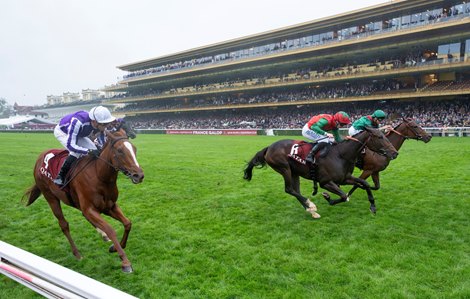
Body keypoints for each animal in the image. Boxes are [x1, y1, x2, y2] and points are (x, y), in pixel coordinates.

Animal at [23, 129, 143, 274]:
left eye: (134, 149)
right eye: (120, 150)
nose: (139, 175)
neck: (99, 175)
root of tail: (40, 158)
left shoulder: (109, 206)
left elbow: (127, 223)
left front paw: (115, 247)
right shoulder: (90, 208)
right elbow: (110, 229)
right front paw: (125, 262)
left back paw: (102, 236)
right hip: (50, 197)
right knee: (64, 224)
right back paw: (77, 254)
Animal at [244, 127, 398, 219]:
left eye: (385, 135)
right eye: (380, 137)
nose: (394, 153)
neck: (341, 155)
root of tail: (269, 147)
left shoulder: (345, 178)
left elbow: (364, 183)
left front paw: (372, 206)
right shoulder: (325, 182)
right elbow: (344, 196)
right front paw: (328, 198)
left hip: (294, 172)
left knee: (295, 190)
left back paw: (311, 210)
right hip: (284, 168)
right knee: (289, 189)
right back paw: (310, 205)